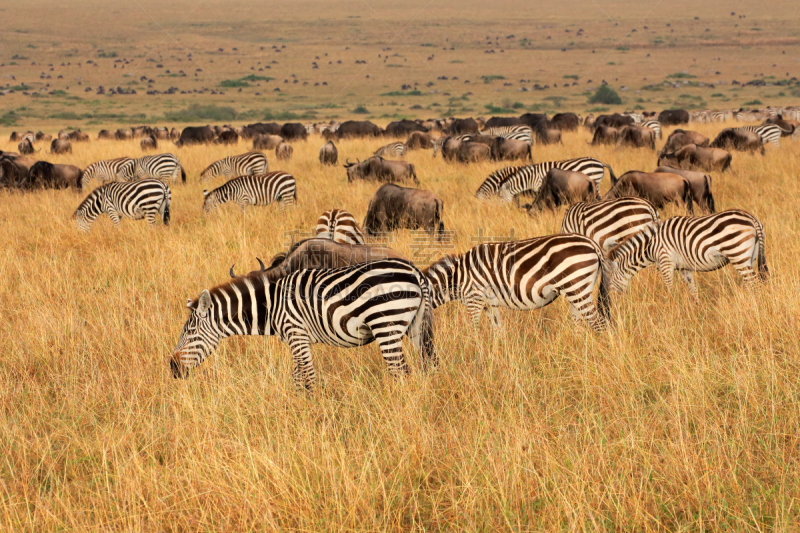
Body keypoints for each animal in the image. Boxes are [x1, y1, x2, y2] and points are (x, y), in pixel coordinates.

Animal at [170, 256, 440, 386]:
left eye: (190, 333)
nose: (172, 368)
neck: (271, 305)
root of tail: (415, 271)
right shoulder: (297, 339)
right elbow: (298, 377)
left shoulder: (296, 333)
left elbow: (307, 376)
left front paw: (312, 411)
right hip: (415, 326)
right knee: (429, 365)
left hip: (386, 325)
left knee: (401, 372)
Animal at [424, 234, 612, 330]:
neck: (457, 278)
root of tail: (592, 243)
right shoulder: (489, 304)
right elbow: (497, 330)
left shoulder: (474, 300)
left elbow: (474, 331)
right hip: (576, 291)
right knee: (580, 323)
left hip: (577, 286)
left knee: (599, 323)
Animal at [608, 210, 768, 298]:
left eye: (611, 281)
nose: (612, 303)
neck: (651, 246)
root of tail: (751, 218)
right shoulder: (684, 267)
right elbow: (692, 290)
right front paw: (696, 310)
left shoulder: (665, 262)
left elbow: (669, 289)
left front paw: (671, 309)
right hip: (750, 256)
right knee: (749, 283)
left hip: (738, 253)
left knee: (753, 283)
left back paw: (755, 304)